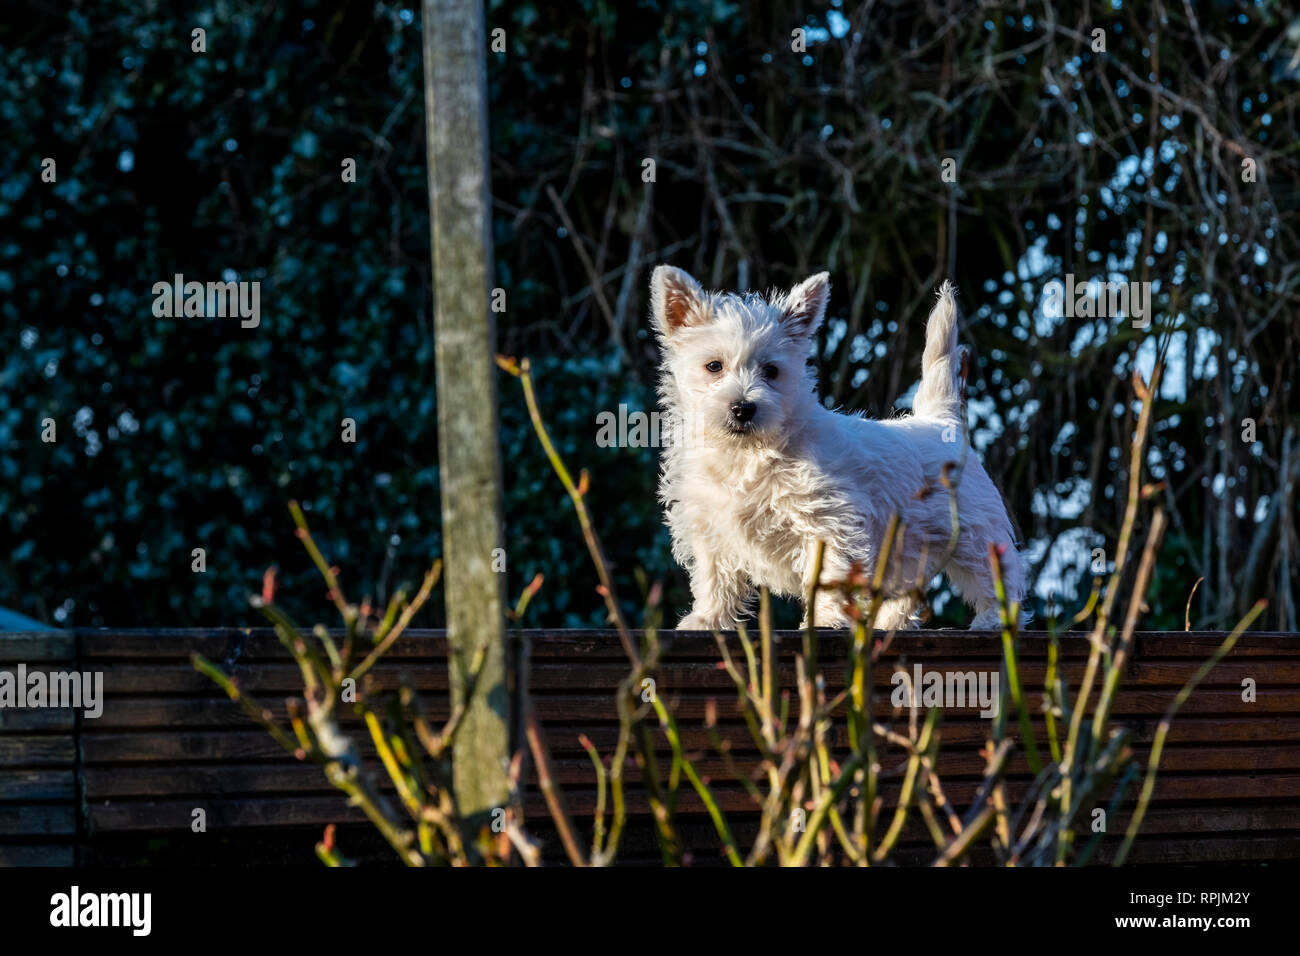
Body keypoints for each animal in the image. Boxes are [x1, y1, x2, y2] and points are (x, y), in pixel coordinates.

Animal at [650, 265, 1024, 632]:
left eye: (771, 370)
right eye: (714, 366)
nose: (743, 408)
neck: (748, 454)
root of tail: (941, 419)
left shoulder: (829, 522)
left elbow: (829, 575)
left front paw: (827, 620)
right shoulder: (711, 528)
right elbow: (715, 577)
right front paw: (707, 619)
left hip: (974, 533)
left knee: (994, 575)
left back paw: (995, 619)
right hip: (904, 547)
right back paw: (889, 623)